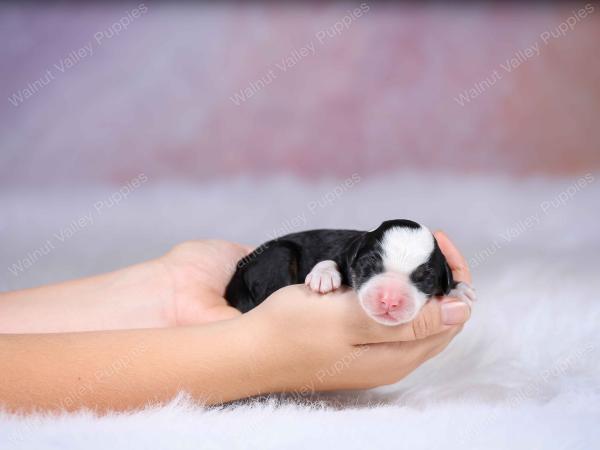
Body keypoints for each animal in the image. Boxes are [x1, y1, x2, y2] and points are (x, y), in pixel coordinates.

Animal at [223, 220, 476, 326]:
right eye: (369, 265)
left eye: (426, 279)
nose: (390, 300)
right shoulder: (344, 252)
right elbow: (330, 260)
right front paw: (323, 276)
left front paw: (459, 289)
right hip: (279, 254)